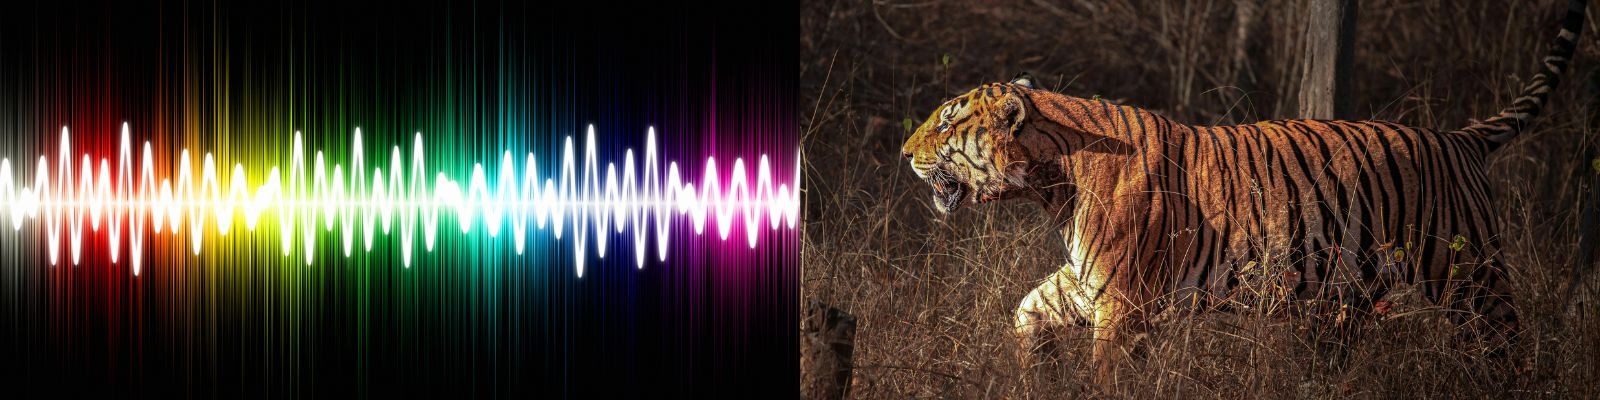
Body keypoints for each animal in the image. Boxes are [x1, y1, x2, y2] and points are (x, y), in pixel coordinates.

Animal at [899, 0, 1586, 384]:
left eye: (947, 121)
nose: (904, 152)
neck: (1052, 183)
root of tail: (1460, 137)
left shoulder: (1121, 300)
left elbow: (1106, 373)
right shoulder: (1086, 282)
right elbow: (1027, 309)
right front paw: (1031, 371)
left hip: (1472, 278)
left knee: (1508, 351)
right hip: (1350, 296)